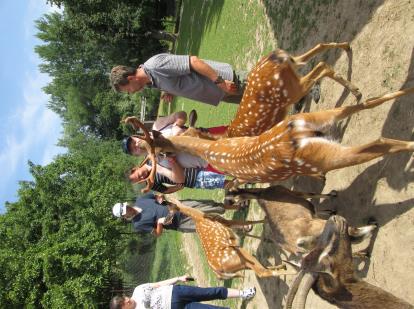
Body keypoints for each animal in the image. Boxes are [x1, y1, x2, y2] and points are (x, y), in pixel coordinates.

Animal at [124, 85, 414, 189]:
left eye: (161, 153)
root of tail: (294, 135)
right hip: (317, 119)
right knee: (369, 104)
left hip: (321, 157)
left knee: (381, 143)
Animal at [163, 197, 296, 280]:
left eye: (170, 209)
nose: (166, 221)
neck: (199, 217)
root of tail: (218, 272)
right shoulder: (226, 221)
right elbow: (247, 221)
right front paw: (266, 219)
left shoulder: (224, 221)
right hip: (239, 256)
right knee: (262, 272)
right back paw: (293, 271)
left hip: (240, 264)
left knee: (260, 268)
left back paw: (282, 266)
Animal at [183, 41, 360, 140]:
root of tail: (276, 57)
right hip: (293, 64)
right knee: (319, 48)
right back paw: (347, 48)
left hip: (291, 90)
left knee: (322, 66)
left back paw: (356, 92)